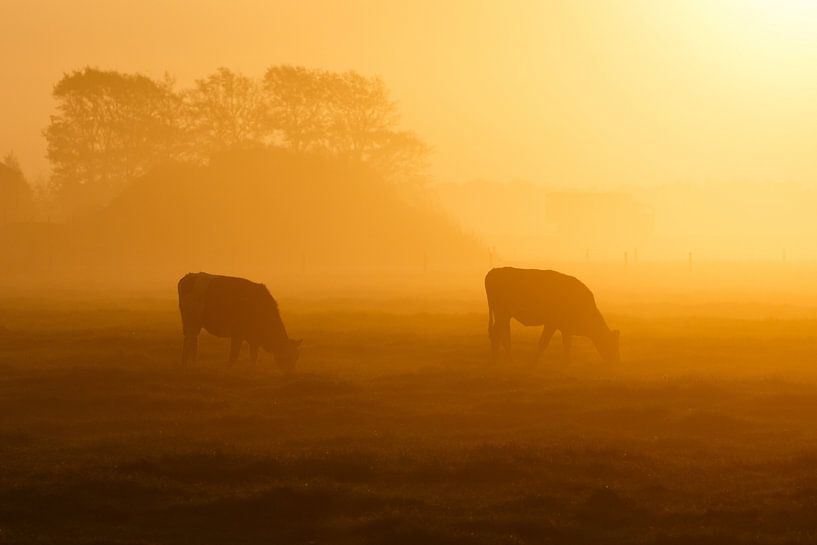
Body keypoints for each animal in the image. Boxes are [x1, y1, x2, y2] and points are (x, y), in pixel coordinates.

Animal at [484, 266, 620, 364]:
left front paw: (566, 362)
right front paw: (536, 361)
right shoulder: (552, 324)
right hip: (502, 314)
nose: (616, 361)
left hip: (504, 316)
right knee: (497, 334)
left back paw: (508, 359)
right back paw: (496, 359)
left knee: (503, 334)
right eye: (612, 343)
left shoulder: (565, 328)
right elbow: (544, 342)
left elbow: (565, 344)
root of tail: (493, 271)